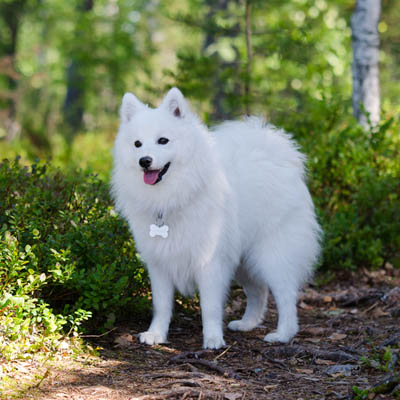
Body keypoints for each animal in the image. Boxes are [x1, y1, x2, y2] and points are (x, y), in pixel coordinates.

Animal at [110, 88, 322, 350]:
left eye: (163, 140)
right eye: (137, 144)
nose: (145, 161)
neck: (171, 198)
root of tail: (277, 154)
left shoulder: (209, 261)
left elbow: (209, 306)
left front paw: (212, 338)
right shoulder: (159, 262)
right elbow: (161, 305)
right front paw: (156, 334)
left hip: (271, 255)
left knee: (286, 297)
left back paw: (283, 334)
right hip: (244, 260)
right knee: (259, 292)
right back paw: (247, 324)